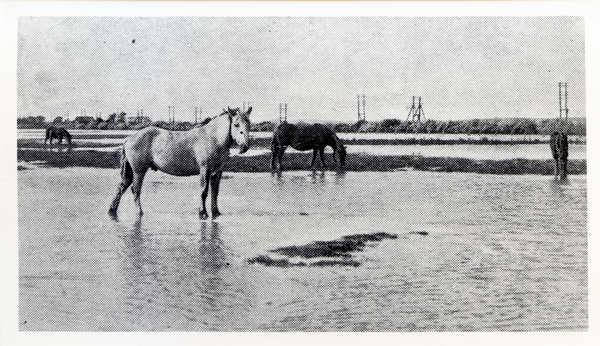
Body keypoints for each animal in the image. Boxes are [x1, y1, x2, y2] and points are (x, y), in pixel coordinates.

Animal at [109, 106, 252, 219]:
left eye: (249, 124)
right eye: (236, 124)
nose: (244, 147)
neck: (213, 138)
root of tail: (129, 138)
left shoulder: (216, 172)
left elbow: (214, 193)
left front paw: (216, 213)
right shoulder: (204, 171)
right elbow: (204, 191)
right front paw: (203, 213)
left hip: (131, 172)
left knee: (121, 188)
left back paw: (112, 210)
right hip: (139, 171)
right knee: (136, 190)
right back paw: (139, 213)